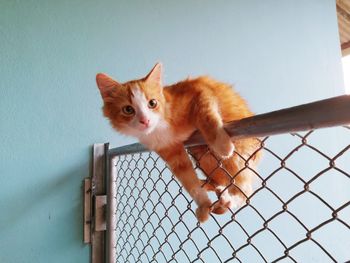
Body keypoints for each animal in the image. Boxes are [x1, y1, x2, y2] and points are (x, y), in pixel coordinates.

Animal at [95, 64, 260, 223]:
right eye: (128, 109)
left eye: (152, 103)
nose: (145, 120)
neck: (160, 126)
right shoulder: (171, 151)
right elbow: (189, 181)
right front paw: (203, 204)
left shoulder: (200, 90)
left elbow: (206, 115)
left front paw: (222, 145)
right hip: (202, 154)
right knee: (221, 181)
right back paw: (214, 188)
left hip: (235, 152)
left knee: (245, 189)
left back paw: (231, 199)